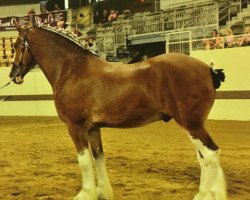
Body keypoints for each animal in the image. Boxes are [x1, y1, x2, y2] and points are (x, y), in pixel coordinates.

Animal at [10, 24, 227, 199]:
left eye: (16, 45)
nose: (13, 75)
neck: (72, 70)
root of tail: (208, 69)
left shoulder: (76, 127)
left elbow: (84, 161)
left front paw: (85, 194)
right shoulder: (93, 129)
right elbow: (98, 158)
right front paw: (102, 193)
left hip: (191, 124)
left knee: (210, 154)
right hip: (193, 126)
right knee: (203, 158)